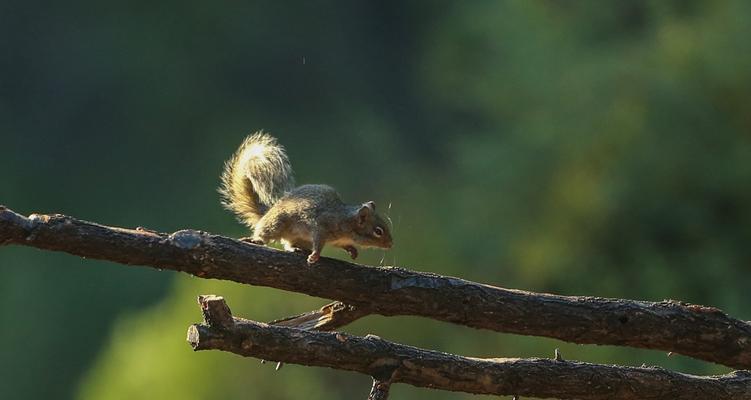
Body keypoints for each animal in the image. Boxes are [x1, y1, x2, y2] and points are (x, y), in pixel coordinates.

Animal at [217, 132, 394, 266]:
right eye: (378, 231)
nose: (391, 244)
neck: (346, 222)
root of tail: (268, 212)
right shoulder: (321, 225)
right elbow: (318, 242)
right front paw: (315, 255)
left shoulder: (338, 239)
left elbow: (343, 244)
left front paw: (352, 250)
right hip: (277, 222)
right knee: (266, 234)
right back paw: (257, 240)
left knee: (288, 244)